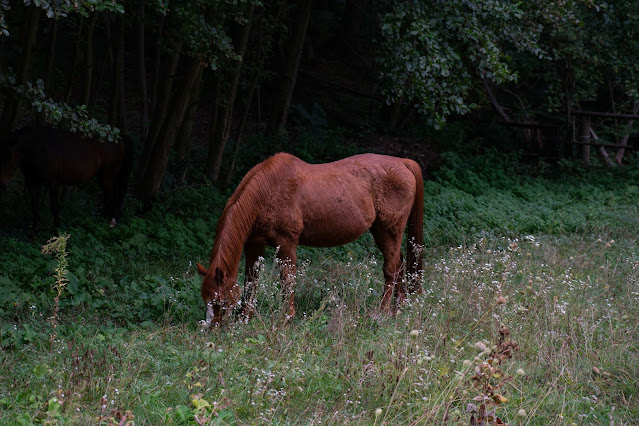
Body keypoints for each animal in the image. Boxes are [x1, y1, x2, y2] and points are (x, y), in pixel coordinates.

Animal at [0, 126, 133, 231]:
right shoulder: (32, 182)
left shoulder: (53, 183)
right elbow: (34, 206)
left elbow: (54, 207)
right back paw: (111, 220)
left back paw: (105, 222)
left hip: (108, 175)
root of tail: (118, 136)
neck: (39, 150)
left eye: (9, 155)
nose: (2, 184)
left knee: (110, 197)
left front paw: (57, 230)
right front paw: (34, 230)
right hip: (105, 176)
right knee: (114, 196)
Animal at [196, 152, 424, 326]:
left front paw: (287, 318)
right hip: (383, 232)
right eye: (205, 298)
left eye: (220, 301)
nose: (212, 328)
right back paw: (399, 307)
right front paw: (245, 317)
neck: (269, 190)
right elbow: (251, 280)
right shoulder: (254, 244)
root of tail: (403, 162)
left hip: (388, 231)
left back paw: (383, 311)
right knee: (399, 263)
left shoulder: (287, 243)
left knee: (391, 268)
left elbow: (287, 280)